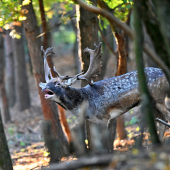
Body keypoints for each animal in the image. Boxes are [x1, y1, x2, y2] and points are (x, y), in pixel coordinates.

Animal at [38, 42, 170, 151]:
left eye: (58, 84)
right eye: (48, 83)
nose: (45, 88)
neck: (86, 102)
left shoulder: (104, 116)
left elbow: (105, 141)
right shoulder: (93, 121)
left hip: (158, 96)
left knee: (167, 116)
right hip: (153, 102)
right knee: (162, 121)